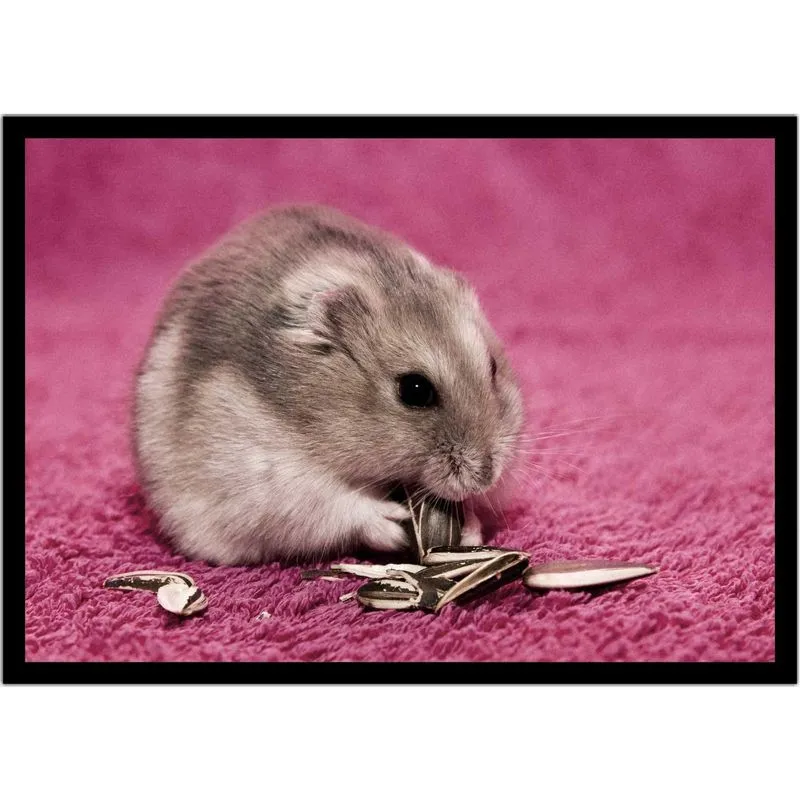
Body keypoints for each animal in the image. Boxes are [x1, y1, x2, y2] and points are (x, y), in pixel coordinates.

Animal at [133, 205, 523, 565]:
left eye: (492, 368)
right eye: (415, 390)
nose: (486, 477)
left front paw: (471, 528)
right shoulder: (271, 481)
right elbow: (338, 504)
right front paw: (393, 522)